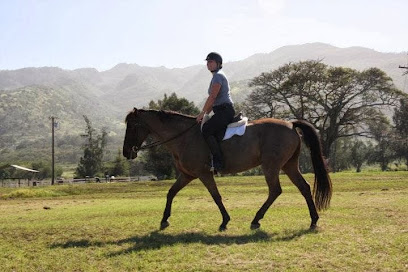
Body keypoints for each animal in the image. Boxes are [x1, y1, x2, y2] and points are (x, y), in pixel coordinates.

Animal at [122, 108, 332, 232]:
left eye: (131, 126)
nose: (126, 153)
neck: (184, 137)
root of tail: (290, 124)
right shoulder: (187, 175)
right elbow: (170, 192)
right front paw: (164, 220)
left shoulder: (203, 174)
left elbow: (216, 196)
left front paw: (224, 221)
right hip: (289, 165)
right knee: (303, 187)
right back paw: (313, 220)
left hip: (271, 166)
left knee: (275, 190)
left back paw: (256, 219)